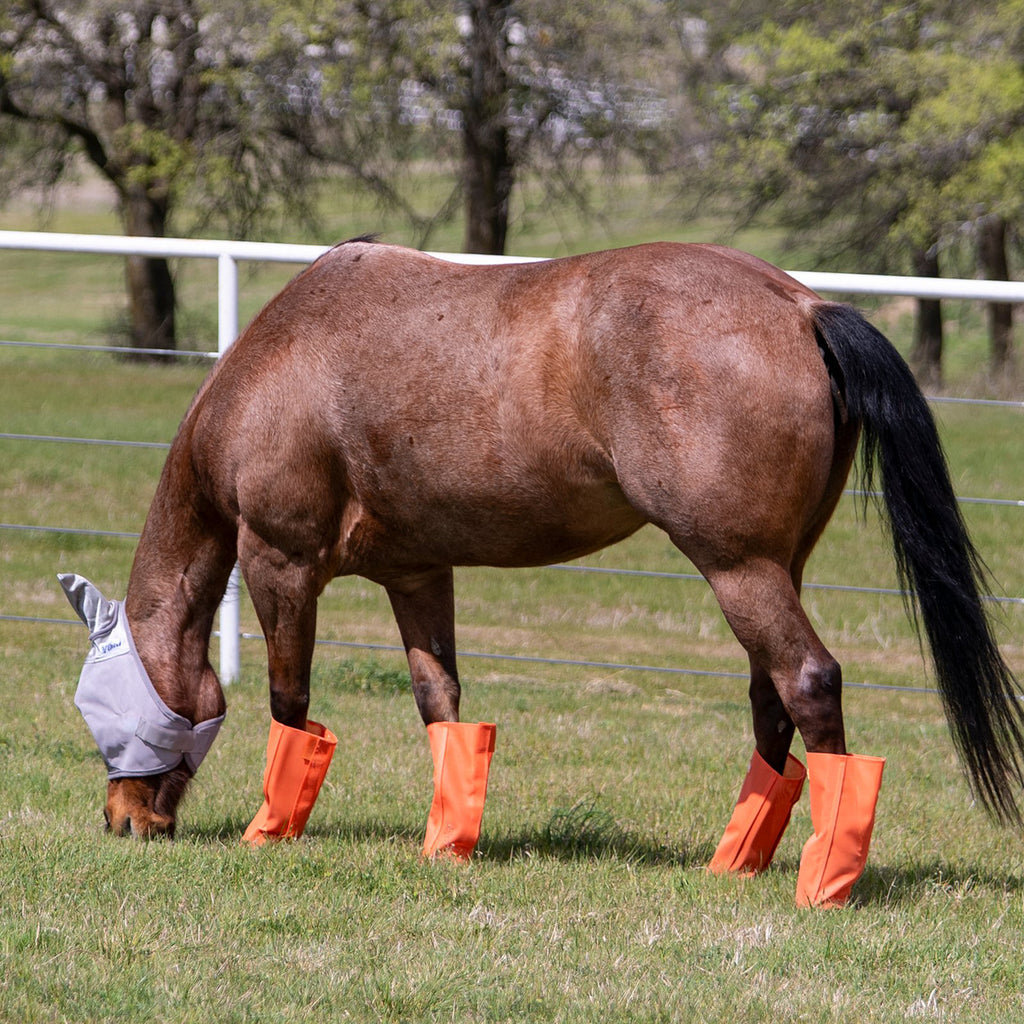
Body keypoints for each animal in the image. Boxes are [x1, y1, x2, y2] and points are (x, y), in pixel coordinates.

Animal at [62, 239, 1023, 905]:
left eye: (95, 698)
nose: (124, 821)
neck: (284, 360)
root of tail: (798, 304)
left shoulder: (279, 562)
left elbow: (289, 705)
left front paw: (271, 831)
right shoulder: (418, 574)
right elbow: (440, 704)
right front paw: (447, 843)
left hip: (739, 567)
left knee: (810, 683)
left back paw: (820, 881)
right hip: (773, 567)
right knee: (771, 700)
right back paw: (733, 863)